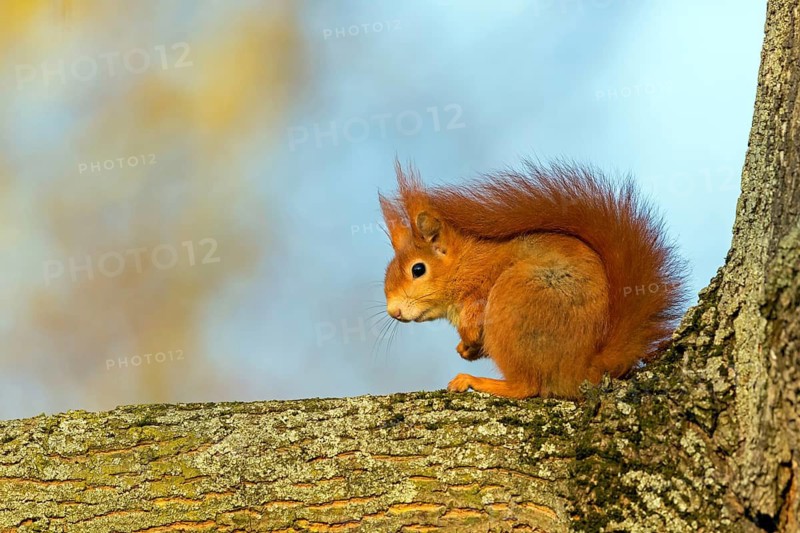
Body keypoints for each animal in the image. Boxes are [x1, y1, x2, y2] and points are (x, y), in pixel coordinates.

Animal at [379, 159, 688, 399]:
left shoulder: (481, 285)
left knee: (526, 386)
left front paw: (467, 337)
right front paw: (465, 348)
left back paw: (476, 381)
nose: (393, 312)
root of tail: (583, 368)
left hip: (514, 301)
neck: (464, 263)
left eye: (418, 270)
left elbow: (474, 316)